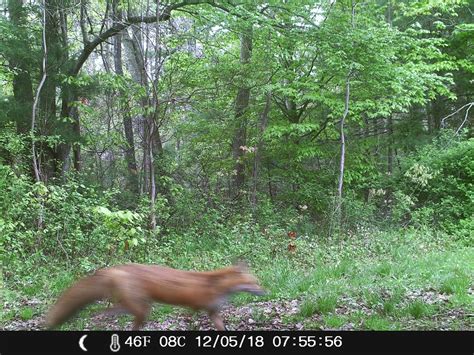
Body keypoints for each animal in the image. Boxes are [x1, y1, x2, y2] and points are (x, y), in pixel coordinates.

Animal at [45, 262, 264, 332]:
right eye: (253, 282)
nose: (264, 291)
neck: (216, 286)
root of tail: (117, 268)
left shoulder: (213, 312)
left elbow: (221, 328)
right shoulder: (196, 308)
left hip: (135, 306)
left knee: (106, 311)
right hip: (142, 309)